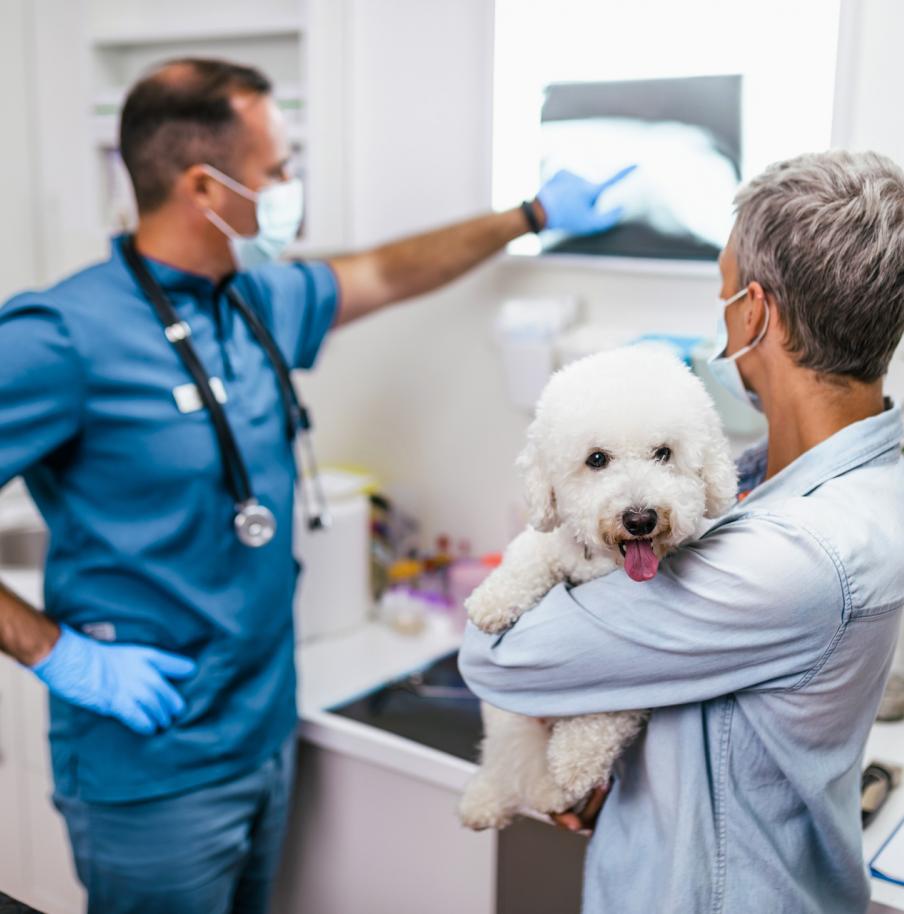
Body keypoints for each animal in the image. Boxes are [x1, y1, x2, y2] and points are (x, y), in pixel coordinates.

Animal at [460, 344, 736, 828]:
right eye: (596, 459)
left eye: (663, 453)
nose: (640, 517)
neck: (606, 565)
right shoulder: (549, 544)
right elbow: (528, 558)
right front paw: (493, 601)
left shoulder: (637, 672)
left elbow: (607, 709)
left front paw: (576, 759)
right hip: (506, 721)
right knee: (505, 756)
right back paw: (486, 798)